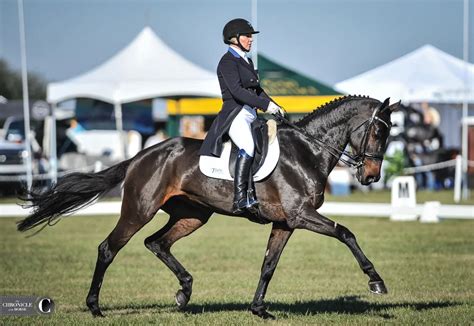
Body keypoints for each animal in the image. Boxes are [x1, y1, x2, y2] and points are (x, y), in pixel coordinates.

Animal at [16, 94, 398, 318]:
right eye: (379, 132)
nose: (371, 176)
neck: (307, 151)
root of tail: (142, 155)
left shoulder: (285, 223)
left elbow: (268, 265)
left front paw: (258, 309)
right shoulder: (301, 216)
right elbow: (346, 233)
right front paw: (376, 282)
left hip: (193, 215)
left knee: (157, 243)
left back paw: (184, 292)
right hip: (139, 210)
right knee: (109, 248)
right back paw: (95, 308)